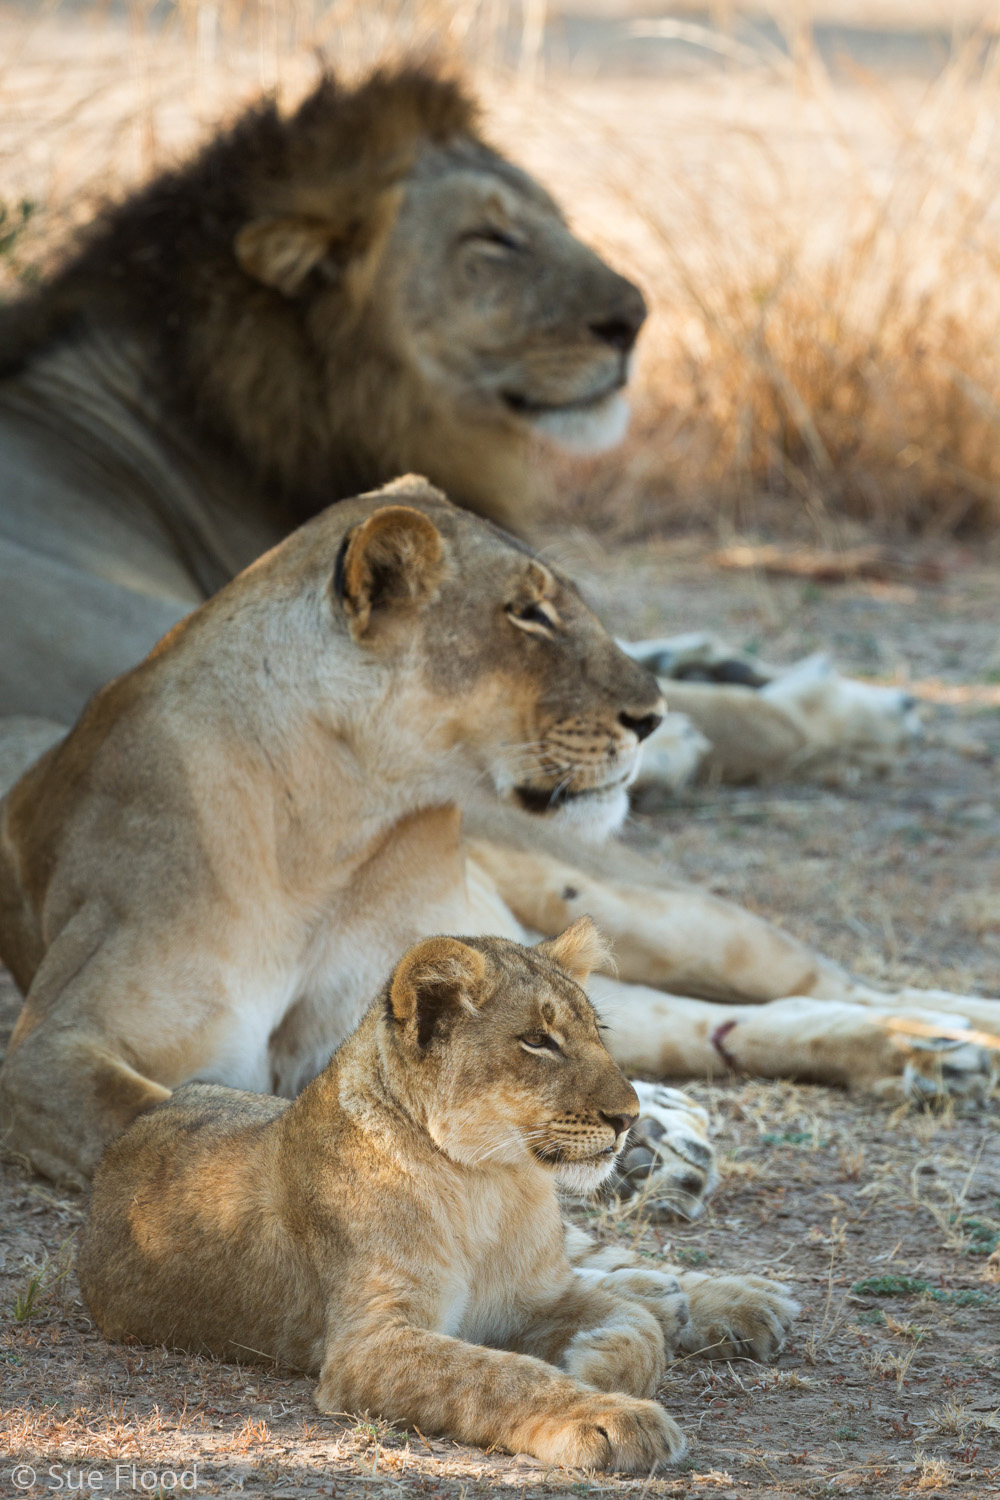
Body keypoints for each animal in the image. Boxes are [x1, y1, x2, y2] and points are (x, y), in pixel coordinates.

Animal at [0, 480, 995, 1206]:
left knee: (834, 983)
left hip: (650, 911)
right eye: (527, 614)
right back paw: (915, 1061)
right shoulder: (52, 1048)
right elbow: (159, 1113)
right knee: (735, 1022)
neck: (336, 829)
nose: (655, 717)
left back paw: (954, 1034)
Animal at [80, 918, 797, 1470]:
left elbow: (633, 1327)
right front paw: (606, 1412)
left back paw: (740, 1300)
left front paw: (597, 1360)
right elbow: (498, 1374)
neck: (491, 1185)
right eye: (538, 1041)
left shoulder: (538, 1292)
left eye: (597, 1034)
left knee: (607, 1263)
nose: (630, 1118)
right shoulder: (368, 1344)